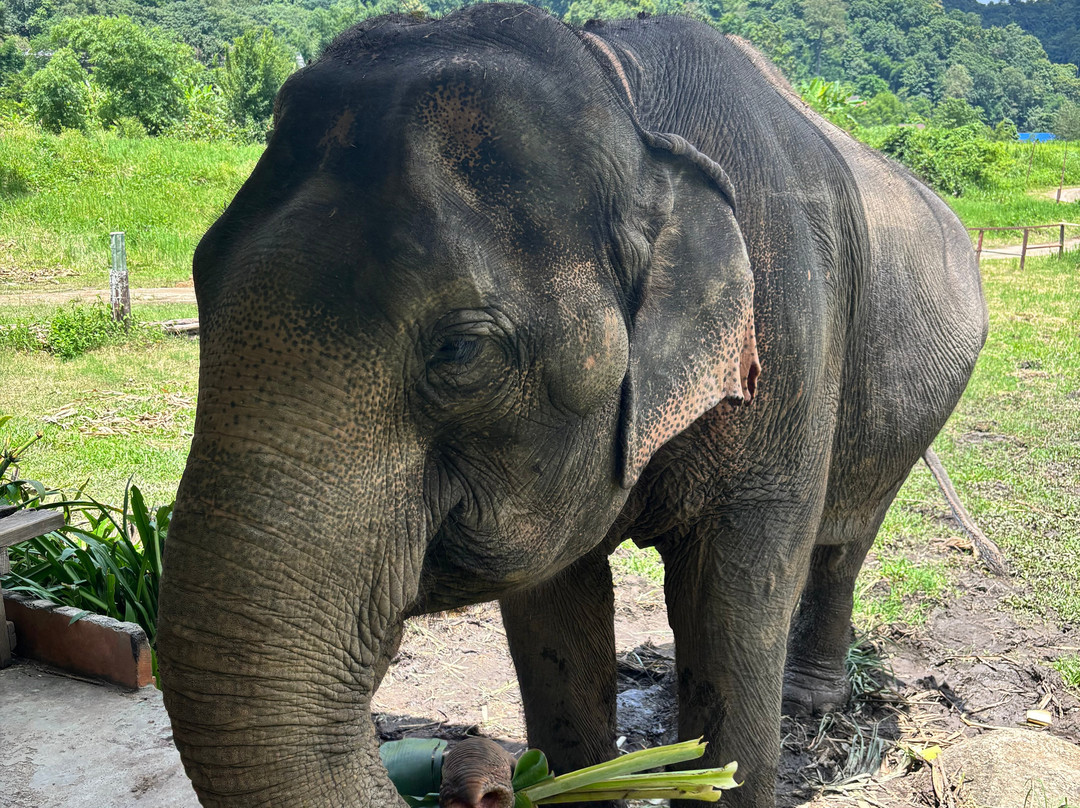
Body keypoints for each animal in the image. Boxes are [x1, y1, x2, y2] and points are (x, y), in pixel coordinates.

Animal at [156, 5, 987, 808]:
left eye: (460, 350)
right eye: (200, 278)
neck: (626, 100)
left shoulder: (786, 352)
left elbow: (733, 612)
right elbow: (554, 617)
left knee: (848, 540)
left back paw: (806, 701)